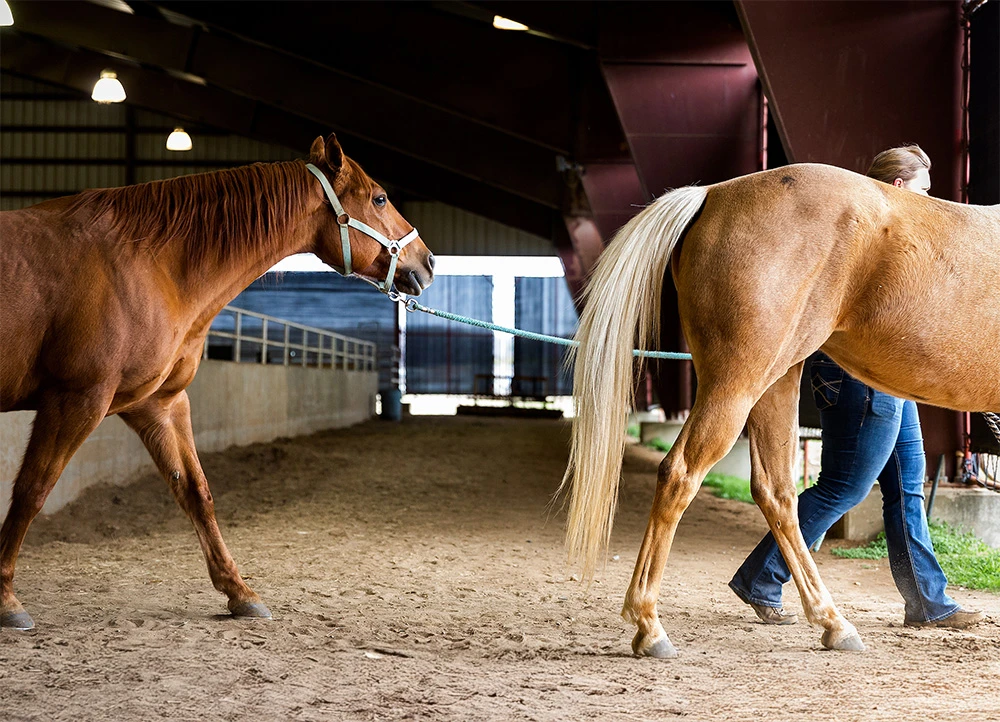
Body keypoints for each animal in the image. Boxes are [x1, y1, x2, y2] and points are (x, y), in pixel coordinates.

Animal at [0, 133, 435, 629]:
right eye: (379, 198)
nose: (428, 261)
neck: (147, 264)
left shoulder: (160, 405)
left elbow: (197, 492)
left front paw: (240, 592)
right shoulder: (75, 399)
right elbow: (31, 490)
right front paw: (6, 599)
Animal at [562, 163, 999, 657]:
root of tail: (713, 194)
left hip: (775, 380)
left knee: (776, 491)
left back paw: (831, 623)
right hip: (736, 385)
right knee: (681, 473)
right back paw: (650, 626)